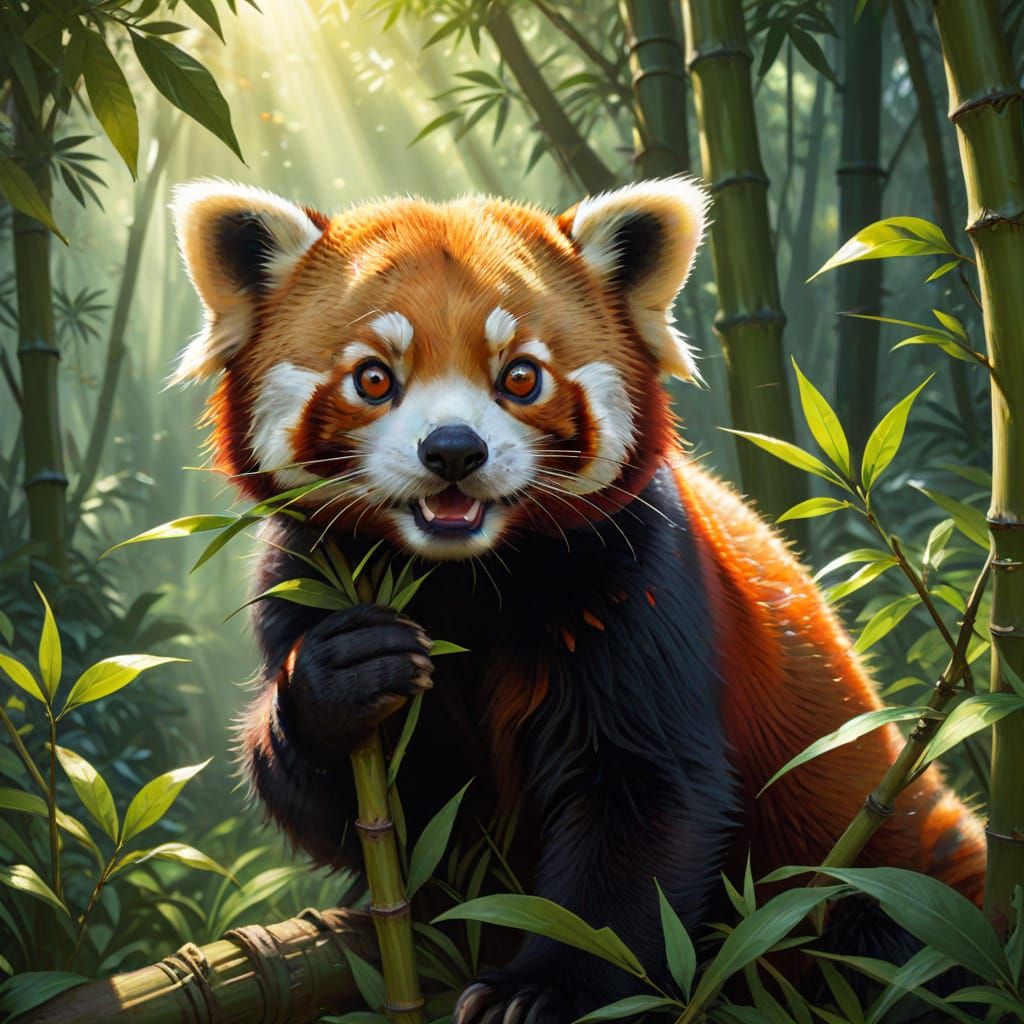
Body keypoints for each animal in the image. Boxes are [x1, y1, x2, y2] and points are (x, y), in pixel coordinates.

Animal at [171, 177, 985, 1021]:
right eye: (373, 378)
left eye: (520, 377)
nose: (454, 451)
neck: (463, 572)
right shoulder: (302, 573)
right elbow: (379, 813)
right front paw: (341, 676)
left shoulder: (639, 574)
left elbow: (641, 791)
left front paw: (540, 990)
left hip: (894, 858)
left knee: (891, 933)